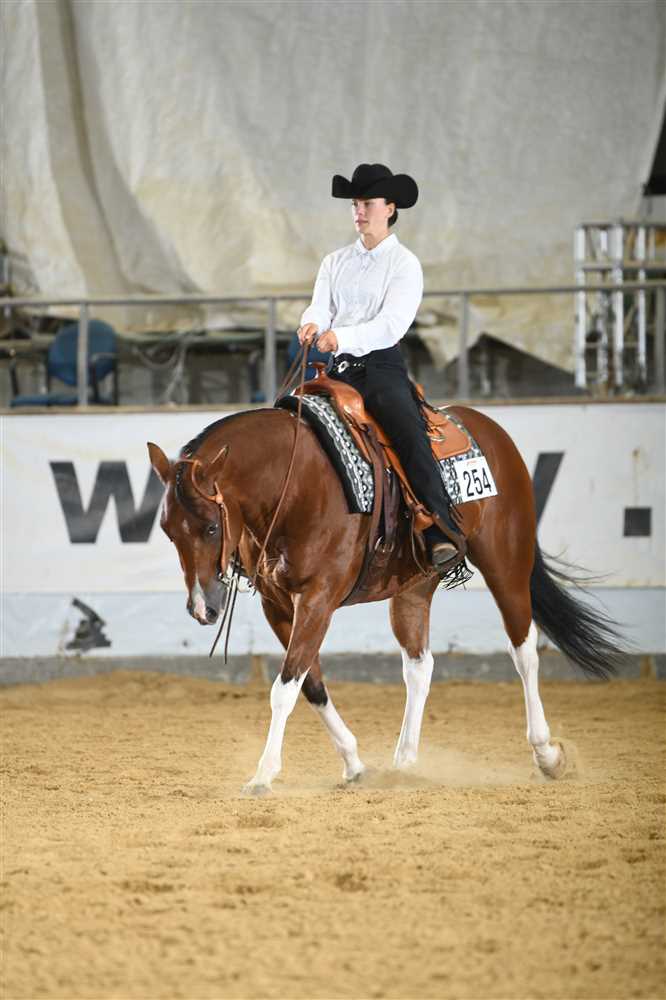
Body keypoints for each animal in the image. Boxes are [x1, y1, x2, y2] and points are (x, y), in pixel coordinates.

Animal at [147, 402, 623, 793]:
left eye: (211, 527)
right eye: (168, 530)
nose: (202, 608)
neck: (295, 484)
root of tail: (488, 427)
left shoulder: (317, 600)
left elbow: (284, 688)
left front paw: (263, 774)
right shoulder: (277, 605)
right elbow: (310, 684)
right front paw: (355, 764)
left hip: (506, 564)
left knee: (524, 652)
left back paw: (547, 754)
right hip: (415, 585)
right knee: (419, 665)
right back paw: (405, 761)